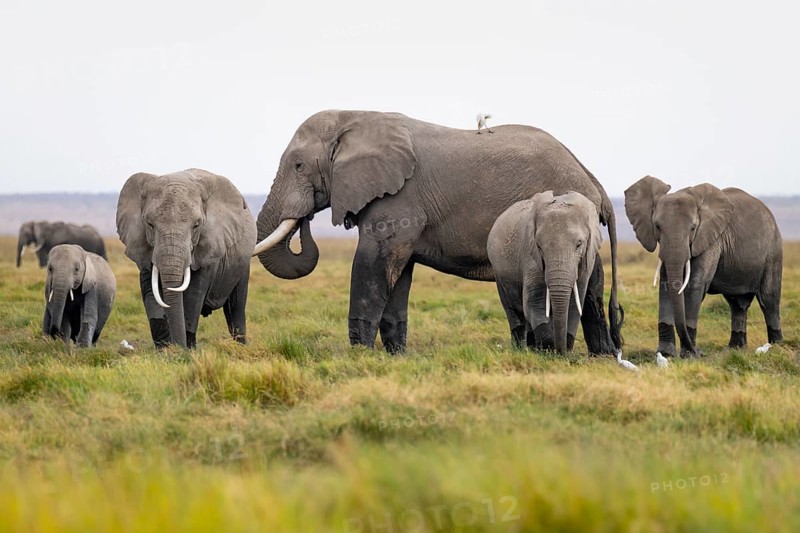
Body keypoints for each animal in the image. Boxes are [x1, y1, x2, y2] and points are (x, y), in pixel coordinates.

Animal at [116, 169, 256, 349]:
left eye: (196, 225)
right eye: (150, 224)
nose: (178, 347)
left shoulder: (209, 247)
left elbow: (193, 295)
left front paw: (186, 350)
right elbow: (150, 291)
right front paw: (166, 351)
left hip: (243, 263)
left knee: (236, 306)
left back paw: (240, 347)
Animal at [487, 191, 602, 353]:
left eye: (579, 244)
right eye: (539, 246)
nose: (561, 352)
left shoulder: (587, 260)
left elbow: (575, 304)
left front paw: (564, 350)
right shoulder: (531, 257)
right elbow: (534, 302)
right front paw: (549, 350)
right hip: (499, 273)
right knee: (513, 311)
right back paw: (521, 349)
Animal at [625, 176, 783, 357]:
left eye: (693, 228)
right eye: (657, 226)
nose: (699, 352)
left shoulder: (711, 239)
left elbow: (695, 284)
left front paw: (688, 355)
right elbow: (666, 285)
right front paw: (665, 354)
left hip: (773, 250)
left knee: (769, 299)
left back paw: (776, 346)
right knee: (738, 304)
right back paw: (736, 347)